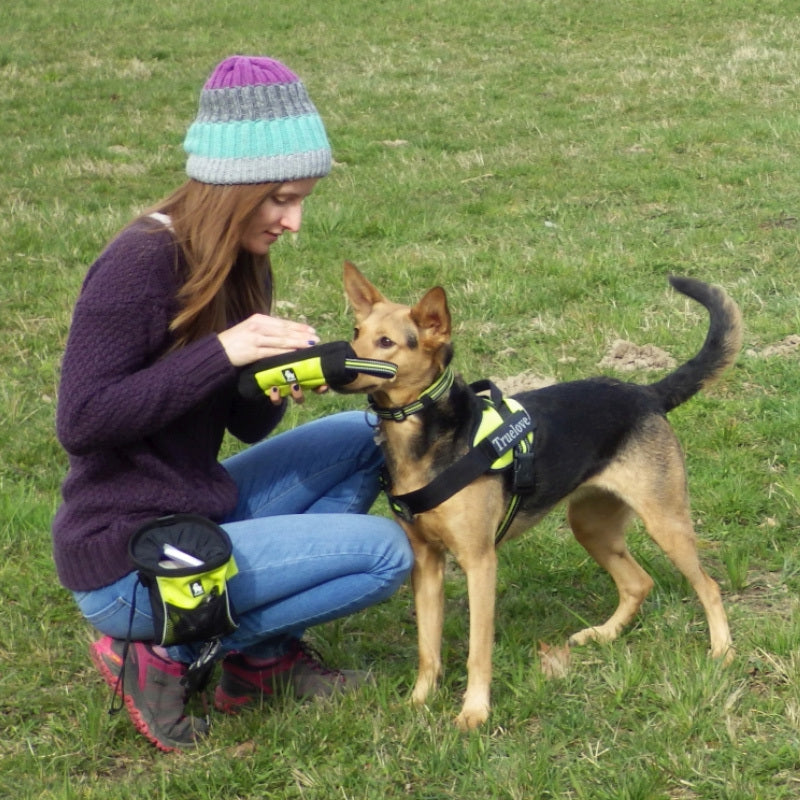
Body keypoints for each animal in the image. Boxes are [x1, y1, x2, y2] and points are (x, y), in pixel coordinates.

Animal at [336, 262, 736, 732]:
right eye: (356, 331)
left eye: (386, 342)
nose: (339, 367)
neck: (425, 437)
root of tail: (646, 393)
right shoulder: (427, 562)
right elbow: (427, 648)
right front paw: (419, 702)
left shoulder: (479, 562)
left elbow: (478, 650)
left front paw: (474, 711)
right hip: (590, 524)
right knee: (639, 583)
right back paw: (604, 634)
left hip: (665, 520)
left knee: (707, 585)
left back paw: (722, 649)